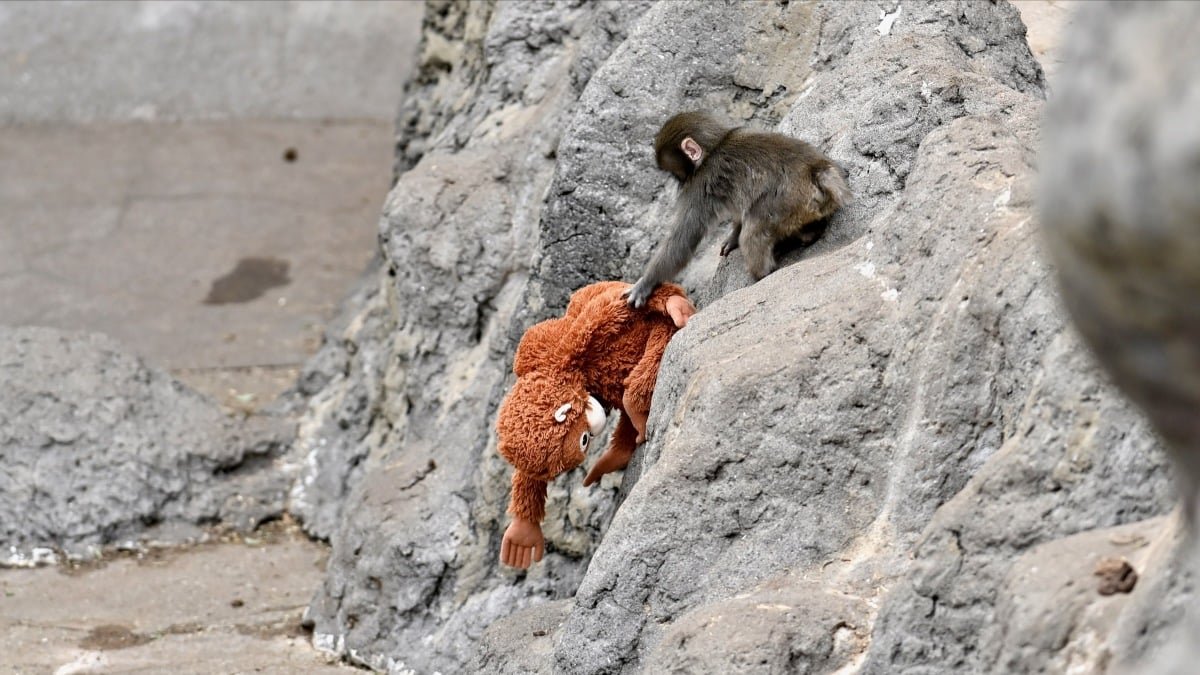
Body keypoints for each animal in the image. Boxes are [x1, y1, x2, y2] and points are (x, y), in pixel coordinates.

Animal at [626, 111, 851, 308]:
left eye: (676, 174)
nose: (680, 184)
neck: (715, 145)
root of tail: (817, 171)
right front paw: (732, 237)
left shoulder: (699, 185)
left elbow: (683, 239)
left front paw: (645, 283)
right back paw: (810, 233)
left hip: (784, 204)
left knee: (752, 233)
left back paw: (761, 273)